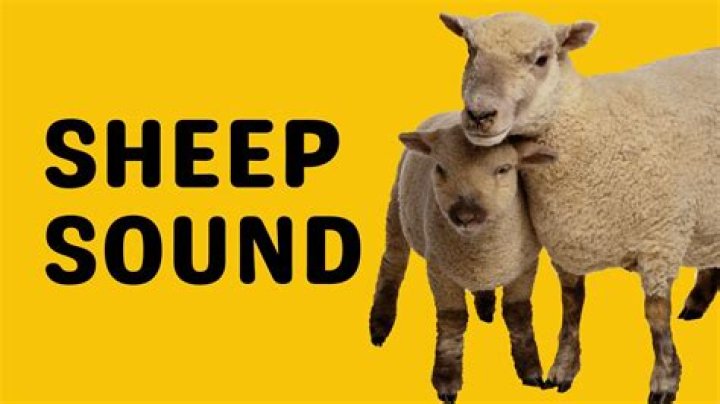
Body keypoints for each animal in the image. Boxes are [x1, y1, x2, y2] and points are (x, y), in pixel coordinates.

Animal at [369, 112, 558, 403]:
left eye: (504, 169)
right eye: (440, 168)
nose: (465, 216)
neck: (481, 250)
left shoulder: (525, 266)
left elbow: (518, 313)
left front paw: (530, 369)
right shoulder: (439, 269)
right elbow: (452, 319)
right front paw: (447, 378)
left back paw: (485, 305)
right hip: (397, 210)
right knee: (392, 264)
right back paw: (380, 324)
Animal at [438, 12, 720, 403]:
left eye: (541, 59)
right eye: (471, 49)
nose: (479, 115)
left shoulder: (659, 240)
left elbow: (656, 315)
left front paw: (665, 379)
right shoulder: (566, 241)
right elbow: (571, 307)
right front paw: (563, 367)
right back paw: (696, 303)